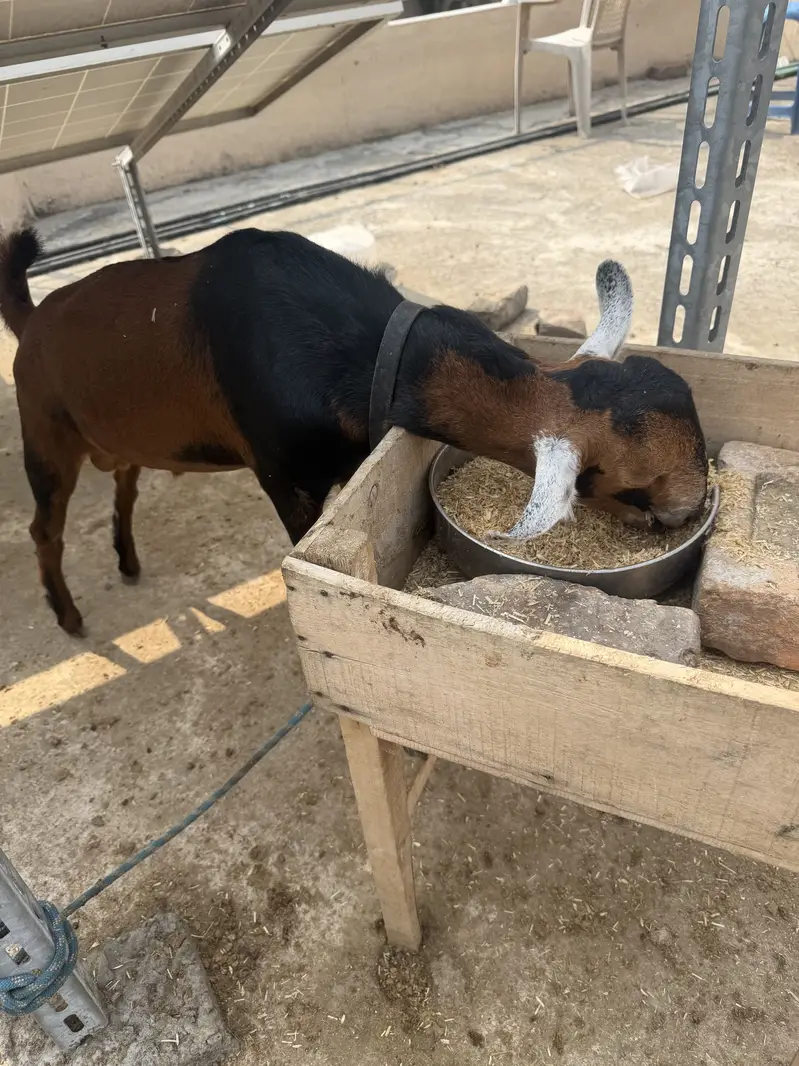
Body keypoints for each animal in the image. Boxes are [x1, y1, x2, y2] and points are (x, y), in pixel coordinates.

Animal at [0, 227, 707, 635]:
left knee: (124, 486)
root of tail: (32, 321)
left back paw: (127, 560)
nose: (692, 511)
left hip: (114, 440)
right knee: (44, 527)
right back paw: (68, 615)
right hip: (44, 434)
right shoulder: (284, 478)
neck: (367, 351)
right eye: (631, 486)